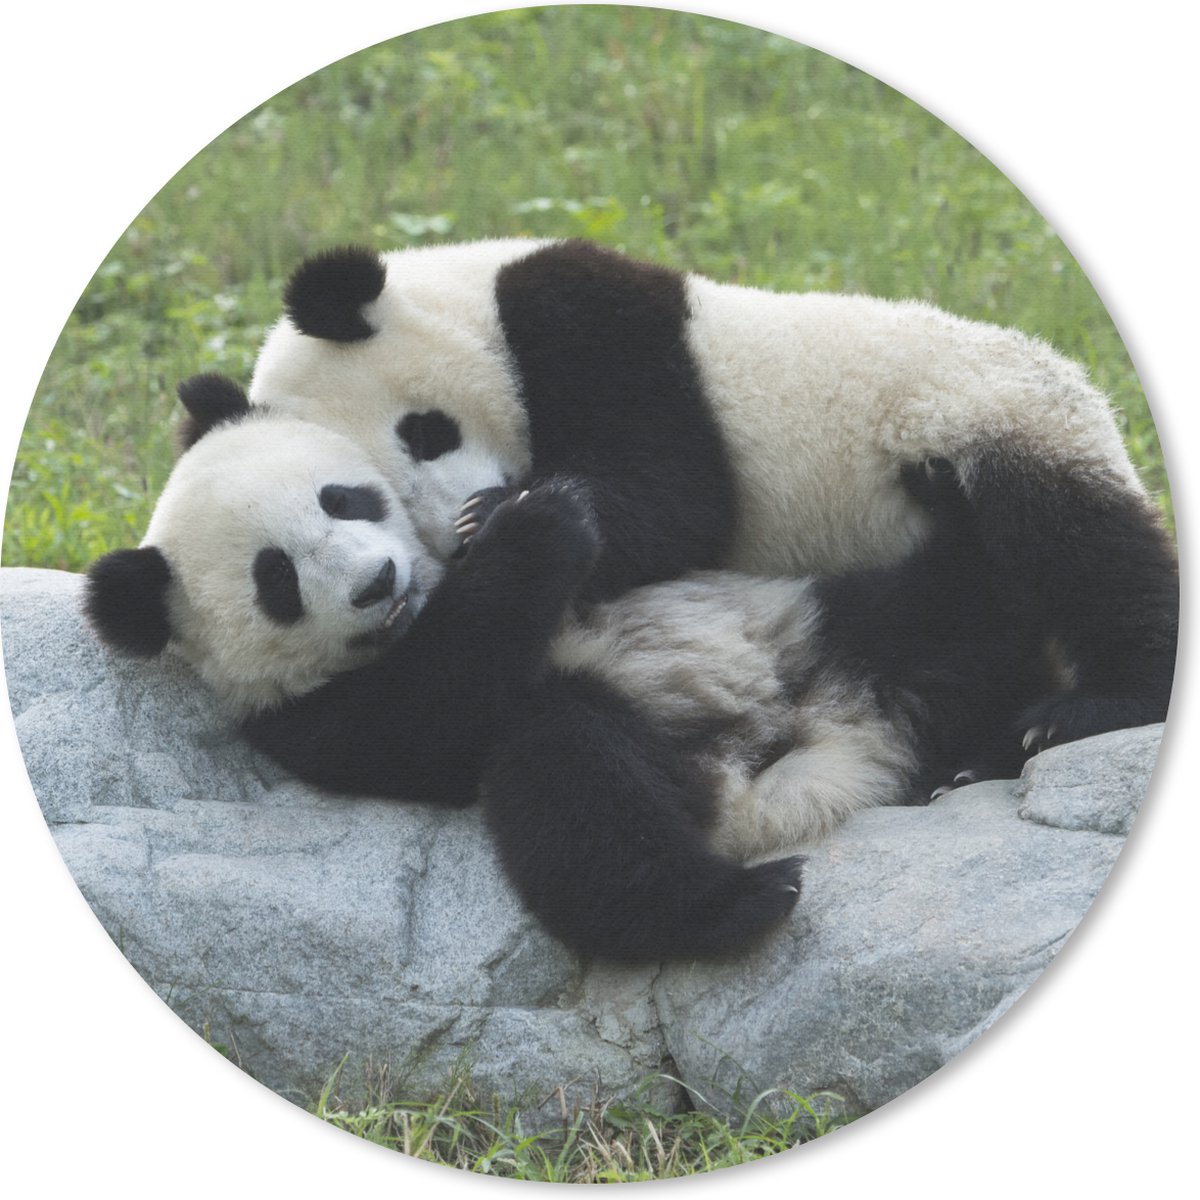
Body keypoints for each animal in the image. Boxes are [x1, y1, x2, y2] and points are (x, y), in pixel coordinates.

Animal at [85, 378, 1051, 962]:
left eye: (343, 500)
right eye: (277, 580)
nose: (376, 582)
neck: (426, 604)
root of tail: (821, 761)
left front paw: (513, 506)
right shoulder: (311, 716)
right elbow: (423, 710)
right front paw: (540, 523)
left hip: (818, 629)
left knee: (944, 613)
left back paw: (988, 731)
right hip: (646, 745)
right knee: (580, 793)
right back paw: (738, 901)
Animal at [248, 238, 1178, 770]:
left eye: (423, 433)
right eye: (376, 506)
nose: (452, 532)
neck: (470, 293)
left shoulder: (592, 321)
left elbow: (679, 489)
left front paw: (505, 514)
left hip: (991, 420)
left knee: (1083, 546)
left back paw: (1088, 709)